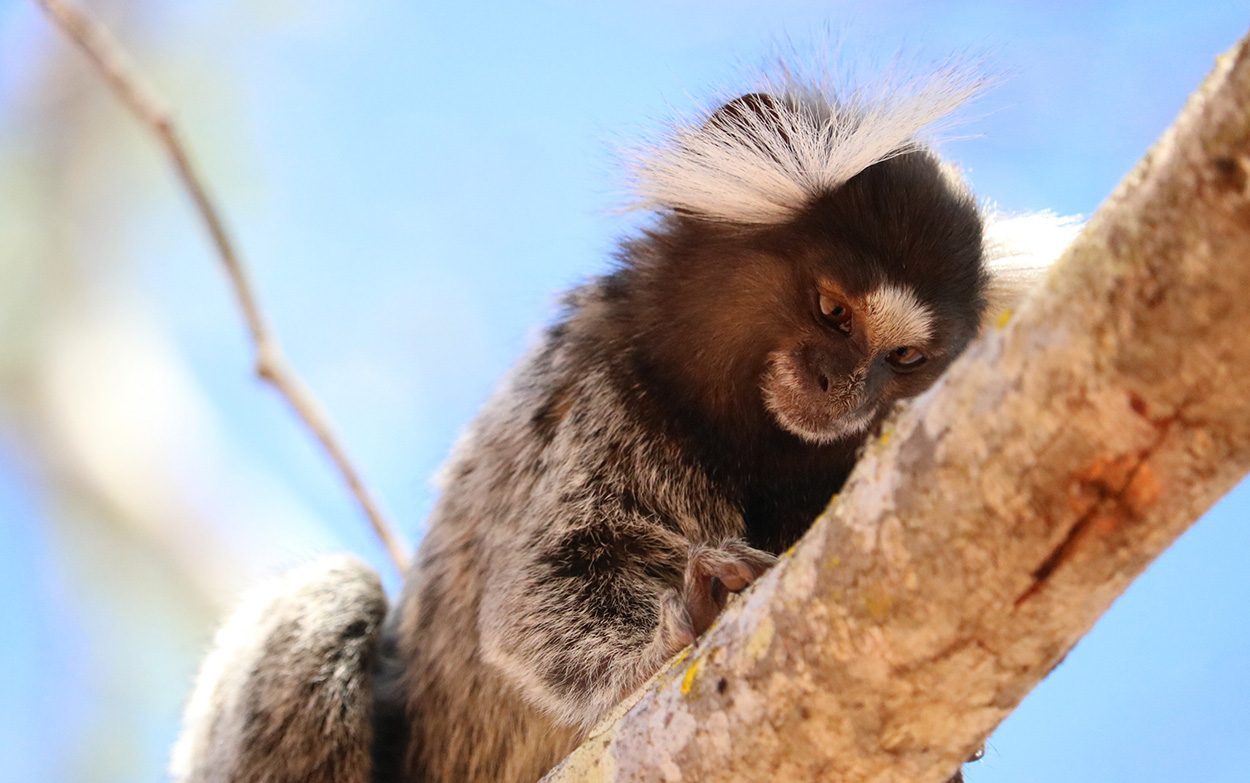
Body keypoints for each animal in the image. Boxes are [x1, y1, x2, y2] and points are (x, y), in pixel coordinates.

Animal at [171, 66, 1078, 783]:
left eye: (904, 359)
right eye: (832, 309)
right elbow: (541, 595)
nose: (842, 386)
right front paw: (690, 616)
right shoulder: (601, 395)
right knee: (331, 591)